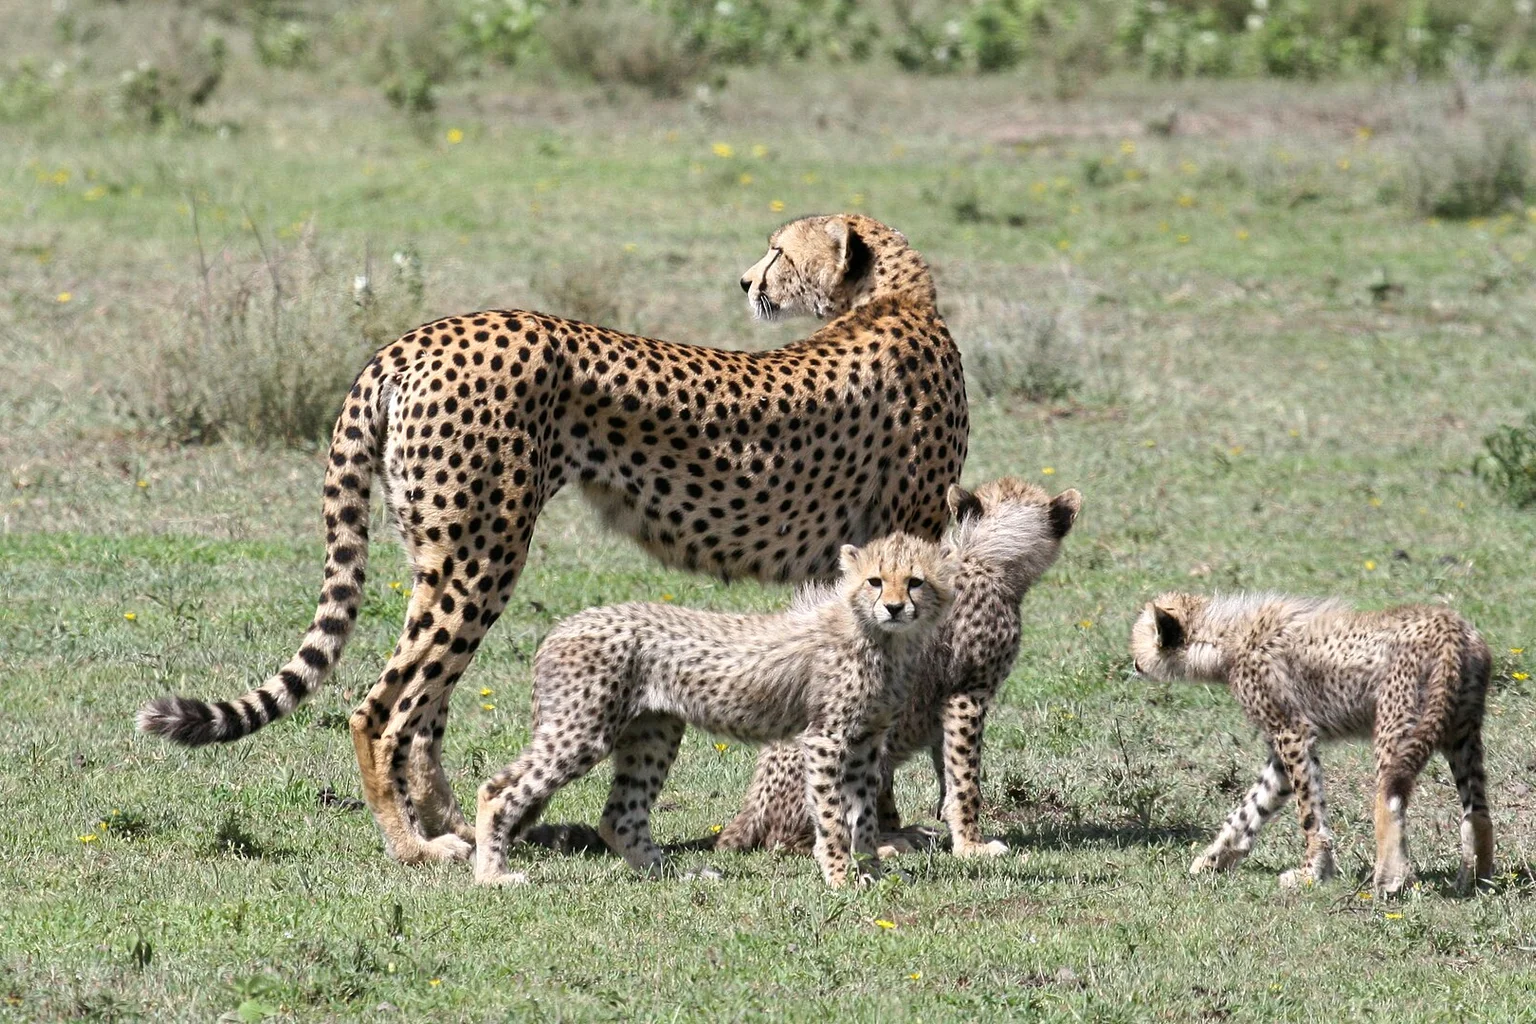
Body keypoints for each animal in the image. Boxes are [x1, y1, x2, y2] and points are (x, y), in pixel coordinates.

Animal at [472, 531, 956, 888]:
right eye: (875, 581)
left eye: (915, 581)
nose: (894, 607)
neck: (880, 636)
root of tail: (564, 624)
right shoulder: (825, 738)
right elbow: (833, 815)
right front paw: (840, 877)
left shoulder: (866, 740)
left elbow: (863, 815)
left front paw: (873, 870)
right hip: (585, 729)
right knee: (498, 792)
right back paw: (493, 876)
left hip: (654, 731)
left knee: (620, 817)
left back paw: (675, 874)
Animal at [713, 477, 1082, 860]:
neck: (987, 556)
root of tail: (752, 808)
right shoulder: (967, 694)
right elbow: (966, 777)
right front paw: (970, 844)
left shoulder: (943, 703)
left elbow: (946, 766)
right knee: (793, 839)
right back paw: (883, 843)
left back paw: (898, 833)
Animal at [1131, 591, 1494, 895]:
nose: (1133, 662)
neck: (1226, 638)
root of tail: (1450, 626)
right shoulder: (1281, 751)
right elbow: (1251, 807)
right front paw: (1214, 859)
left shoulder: (1293, 733)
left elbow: (1308, 812)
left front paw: (1312, 872)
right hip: (1462, 733)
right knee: (1477, 809)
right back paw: (1477, 879)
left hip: (1396, 728)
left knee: (1391, 800)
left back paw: (1391, 879)